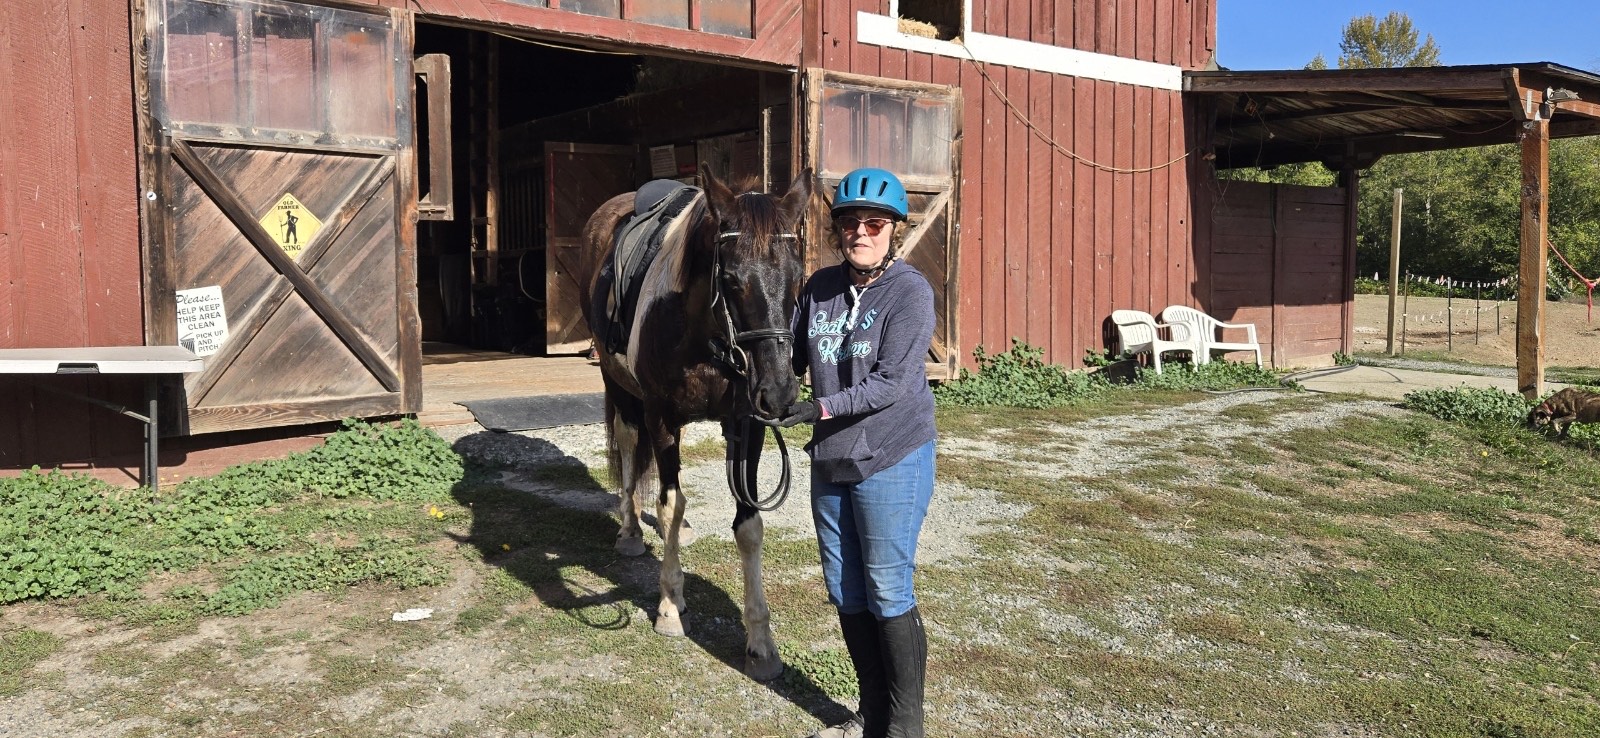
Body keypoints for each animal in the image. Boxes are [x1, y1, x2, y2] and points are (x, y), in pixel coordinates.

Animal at [580, 166, 813, 680]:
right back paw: (630, 530)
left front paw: (761, 643)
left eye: (798, 277)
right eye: (729, 278)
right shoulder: (659, 415)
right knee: (629, 447)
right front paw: (669, 607)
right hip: (617, 384)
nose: (780, 393)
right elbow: (669, 502)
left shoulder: (747, 424)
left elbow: (749, 526)